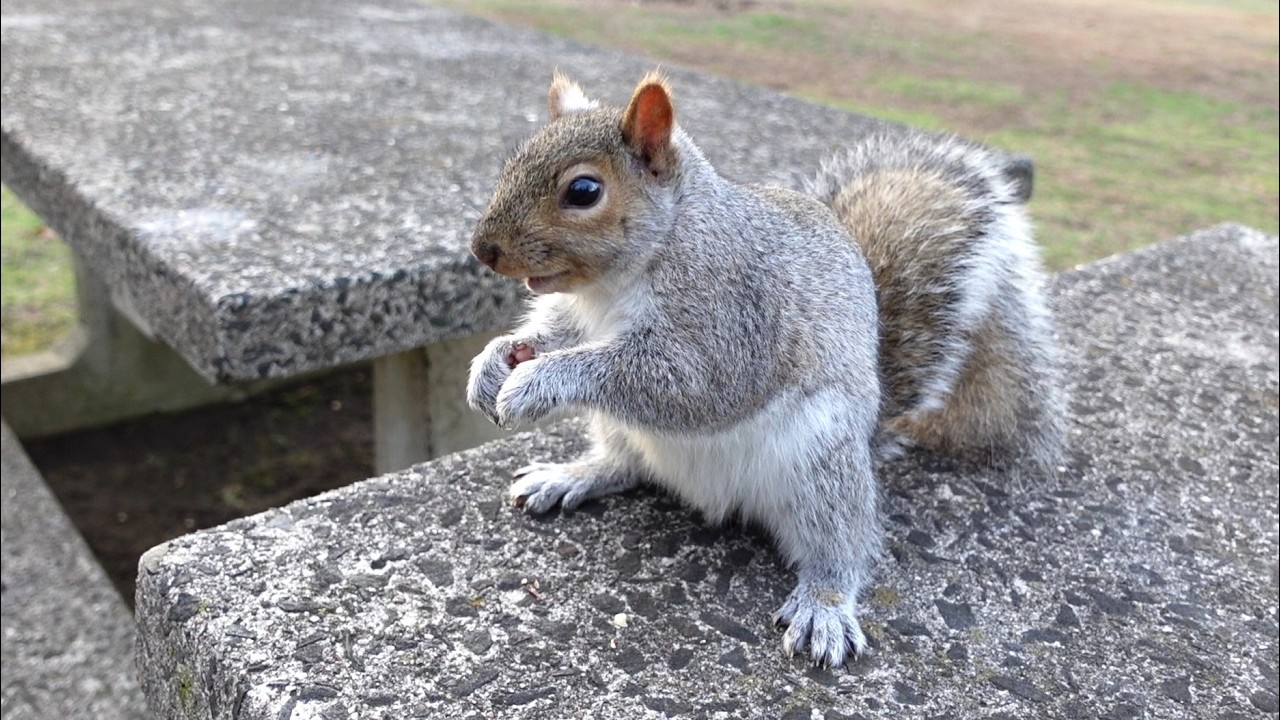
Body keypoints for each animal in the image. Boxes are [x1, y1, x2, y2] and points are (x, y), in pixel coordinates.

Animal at [466, 71, 1066, 667]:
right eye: (514, 160)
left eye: (584, 191)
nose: (482, 250)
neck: (621, 279)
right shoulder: (578, 316)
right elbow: (553, 334)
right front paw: (494, 362)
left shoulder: (733, 319)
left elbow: (685, 382)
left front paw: (538, 381)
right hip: (622, 428)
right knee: (625, 463)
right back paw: (573, 474)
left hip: (819, 462)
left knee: (842, 545)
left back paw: (825, 605)